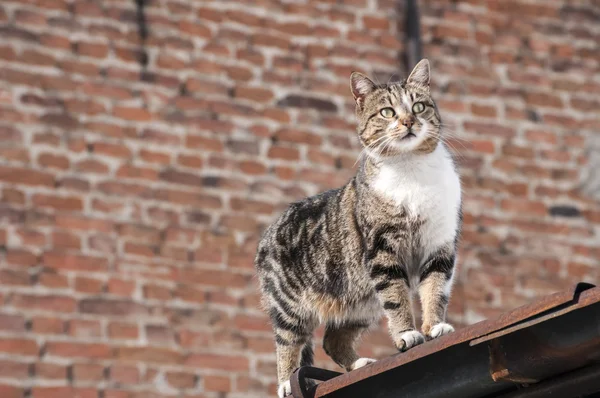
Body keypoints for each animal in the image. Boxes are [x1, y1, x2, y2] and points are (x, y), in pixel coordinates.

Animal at [255, 57, 462, 396]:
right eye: (387, 112)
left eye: (418, 107)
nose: (409, 122)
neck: (412, 170)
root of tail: (268, 233)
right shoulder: (382, 250)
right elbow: (397, 297)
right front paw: (407, 334)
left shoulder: (439, 244)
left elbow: (435, 290)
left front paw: (434, 327)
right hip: (291, 304)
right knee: (288, 341)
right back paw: (286, 382)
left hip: (360, 300)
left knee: (332, 340)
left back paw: (359, 364)